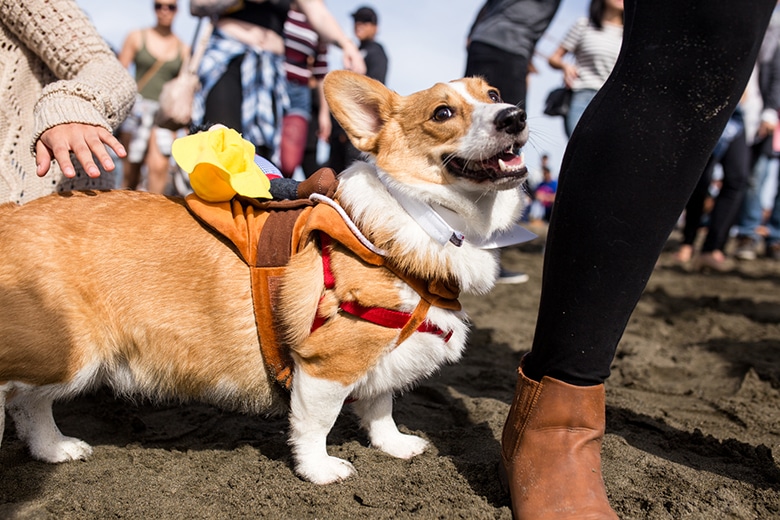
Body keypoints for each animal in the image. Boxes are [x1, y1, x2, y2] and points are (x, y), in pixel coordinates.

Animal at [0, 69, 532, 484]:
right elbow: (316, 425)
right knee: (24, 398)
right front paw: (320, 472)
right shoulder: (327, 364)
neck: (427, 219)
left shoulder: (380, 356)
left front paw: (395, 445)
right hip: (70, 356)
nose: (515, 116)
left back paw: (53, 449)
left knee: (30, 405)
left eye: (493, 93)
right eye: (442, 113)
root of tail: (13, 214)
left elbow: (382, 408)